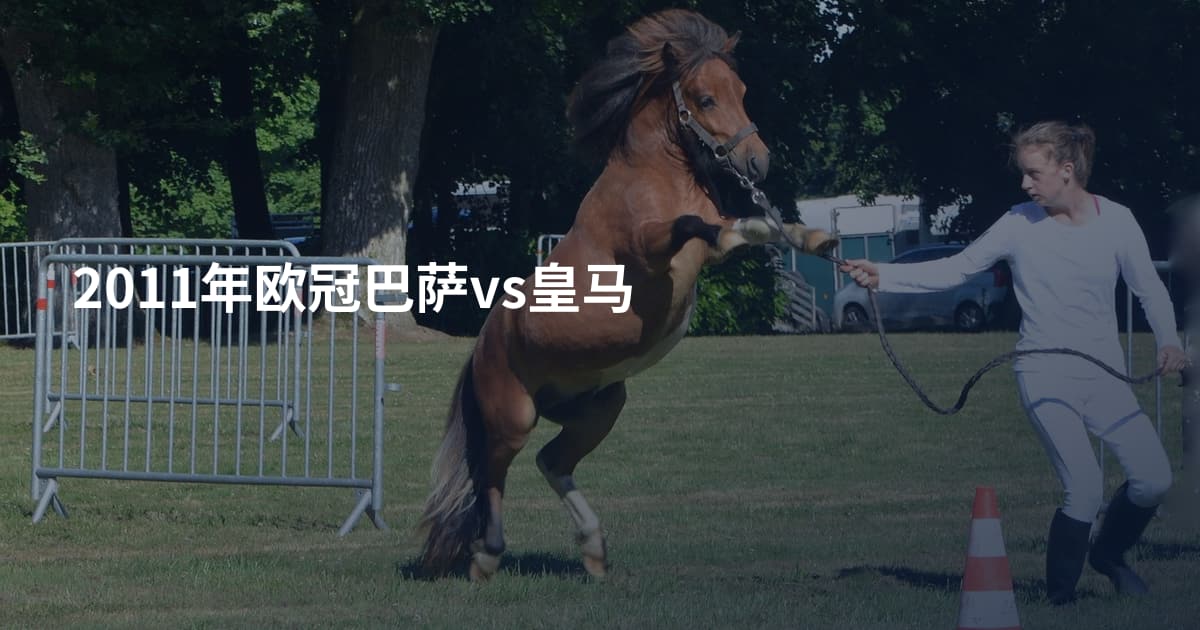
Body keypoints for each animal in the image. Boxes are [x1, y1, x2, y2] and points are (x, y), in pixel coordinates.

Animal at [417, 8, 837, 581]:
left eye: (742, 91)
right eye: (706, 98)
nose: (758, 164)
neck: (655, 177)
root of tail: (481, 346)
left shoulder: (703, 253)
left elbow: (750, 227)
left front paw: (812, 238)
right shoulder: (648, 248)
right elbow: (700, 226)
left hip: (601, 405)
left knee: (552, 461)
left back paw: (593, 550)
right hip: (514, 416)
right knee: (493, 474)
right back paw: (487, 556)